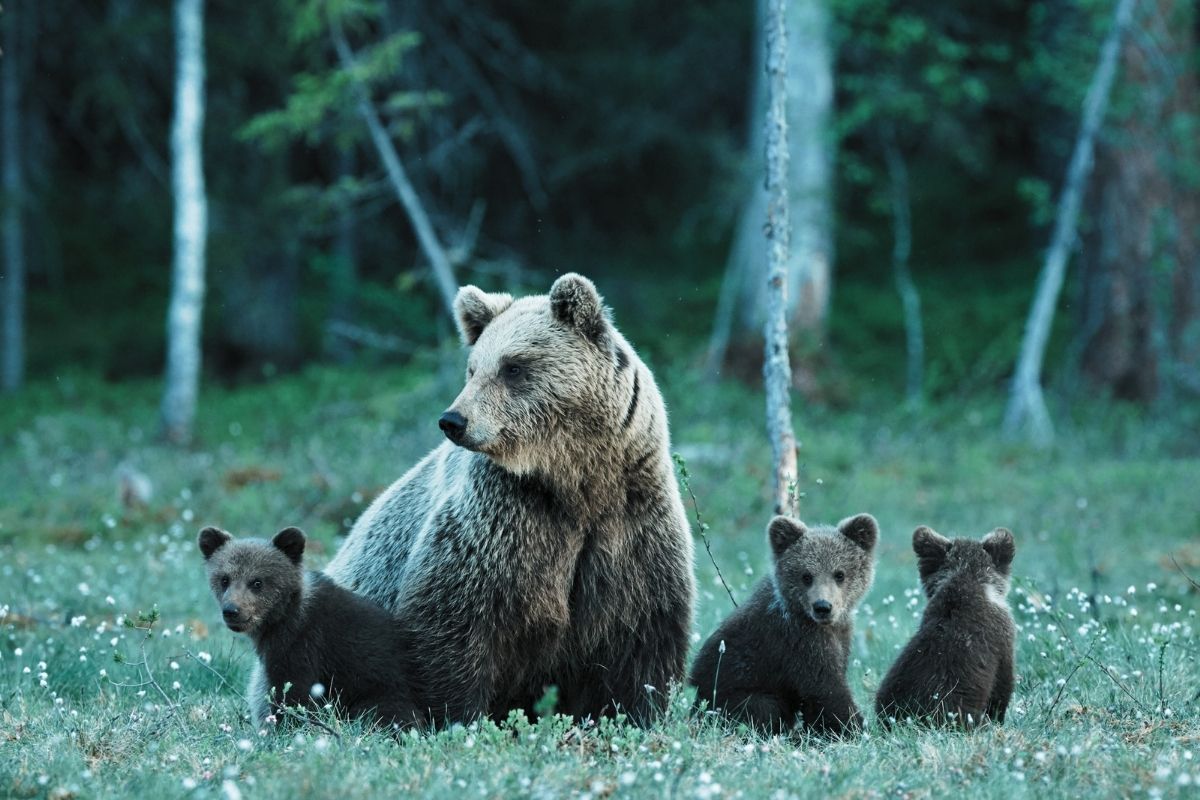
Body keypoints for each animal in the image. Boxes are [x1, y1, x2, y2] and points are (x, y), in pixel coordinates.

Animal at [198, 525, 424, 730]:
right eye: (224, 579)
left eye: (257, 582)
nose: (231, 610)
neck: (282, 618)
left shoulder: (303, 645)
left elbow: (293, 692)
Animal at [322, 273, 696, 725]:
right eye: (473, 368)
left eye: (513, 366)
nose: (453, 420)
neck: (577, 481)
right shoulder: (503, 521)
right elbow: (453, 621)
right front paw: (456, 715)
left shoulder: (631, 524)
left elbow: (642, 637)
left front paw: (636, 713)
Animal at [689, 513, 878, 736]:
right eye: (806, 575)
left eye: (839, 574)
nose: (822, 606)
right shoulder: (799, 640)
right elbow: (826, 689)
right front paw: (858, 728)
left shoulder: (840, 635)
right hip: (732, 694)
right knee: (763, 708)